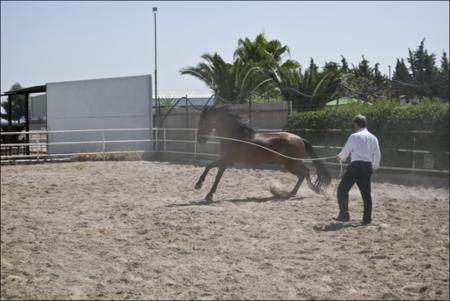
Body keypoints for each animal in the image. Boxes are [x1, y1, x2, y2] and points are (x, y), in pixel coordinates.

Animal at [194, 105, 330, 202]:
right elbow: (210, 167)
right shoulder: (226, 160)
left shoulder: (227, 160)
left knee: (302, 174)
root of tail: (300, 139)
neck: (235, 136)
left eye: (204, 122)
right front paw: (200, 186)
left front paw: (206, 192)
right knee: (306, 172)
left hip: (291, 164)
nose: (200, 139)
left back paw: (292, 193)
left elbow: (215, 174)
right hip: (293, 162)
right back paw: (313, 190)